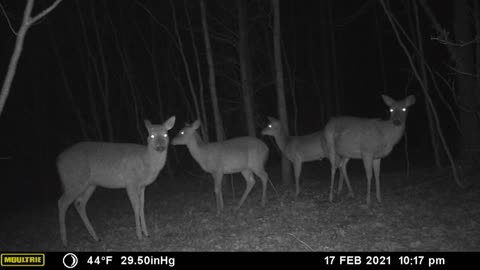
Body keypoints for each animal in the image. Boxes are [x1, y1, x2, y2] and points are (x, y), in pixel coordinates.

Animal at [56, 115, 176, 246]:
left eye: (165, 134)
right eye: (151, 135)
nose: (160, 147)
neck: (146, 163)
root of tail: (58, 161)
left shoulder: (142, 186)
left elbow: (142, 206)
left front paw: (146, 233)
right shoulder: (130, 181)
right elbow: (136, 206)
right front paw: (139, 235)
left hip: (89, 184)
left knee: (79, 204)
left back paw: (96, 237)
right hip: (73, 180)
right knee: (62, 203)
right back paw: (64, 241)